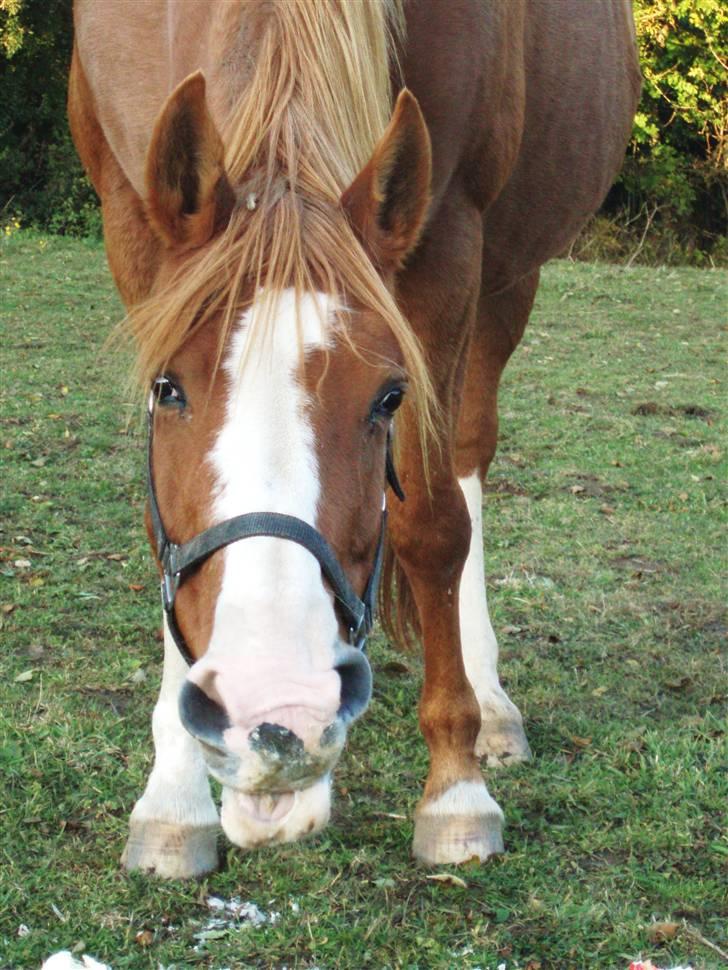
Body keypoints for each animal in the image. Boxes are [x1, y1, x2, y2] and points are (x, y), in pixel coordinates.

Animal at [67, 1, 636, 876]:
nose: (275, 717)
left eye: (388, 396)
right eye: (166, 388)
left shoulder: (448, 239)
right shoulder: (130, 219)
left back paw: (488, 700)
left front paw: (455, 791)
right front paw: (173, 800)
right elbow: (162, 531)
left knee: (466, 460)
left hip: (509, 278)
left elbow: (433, 523)